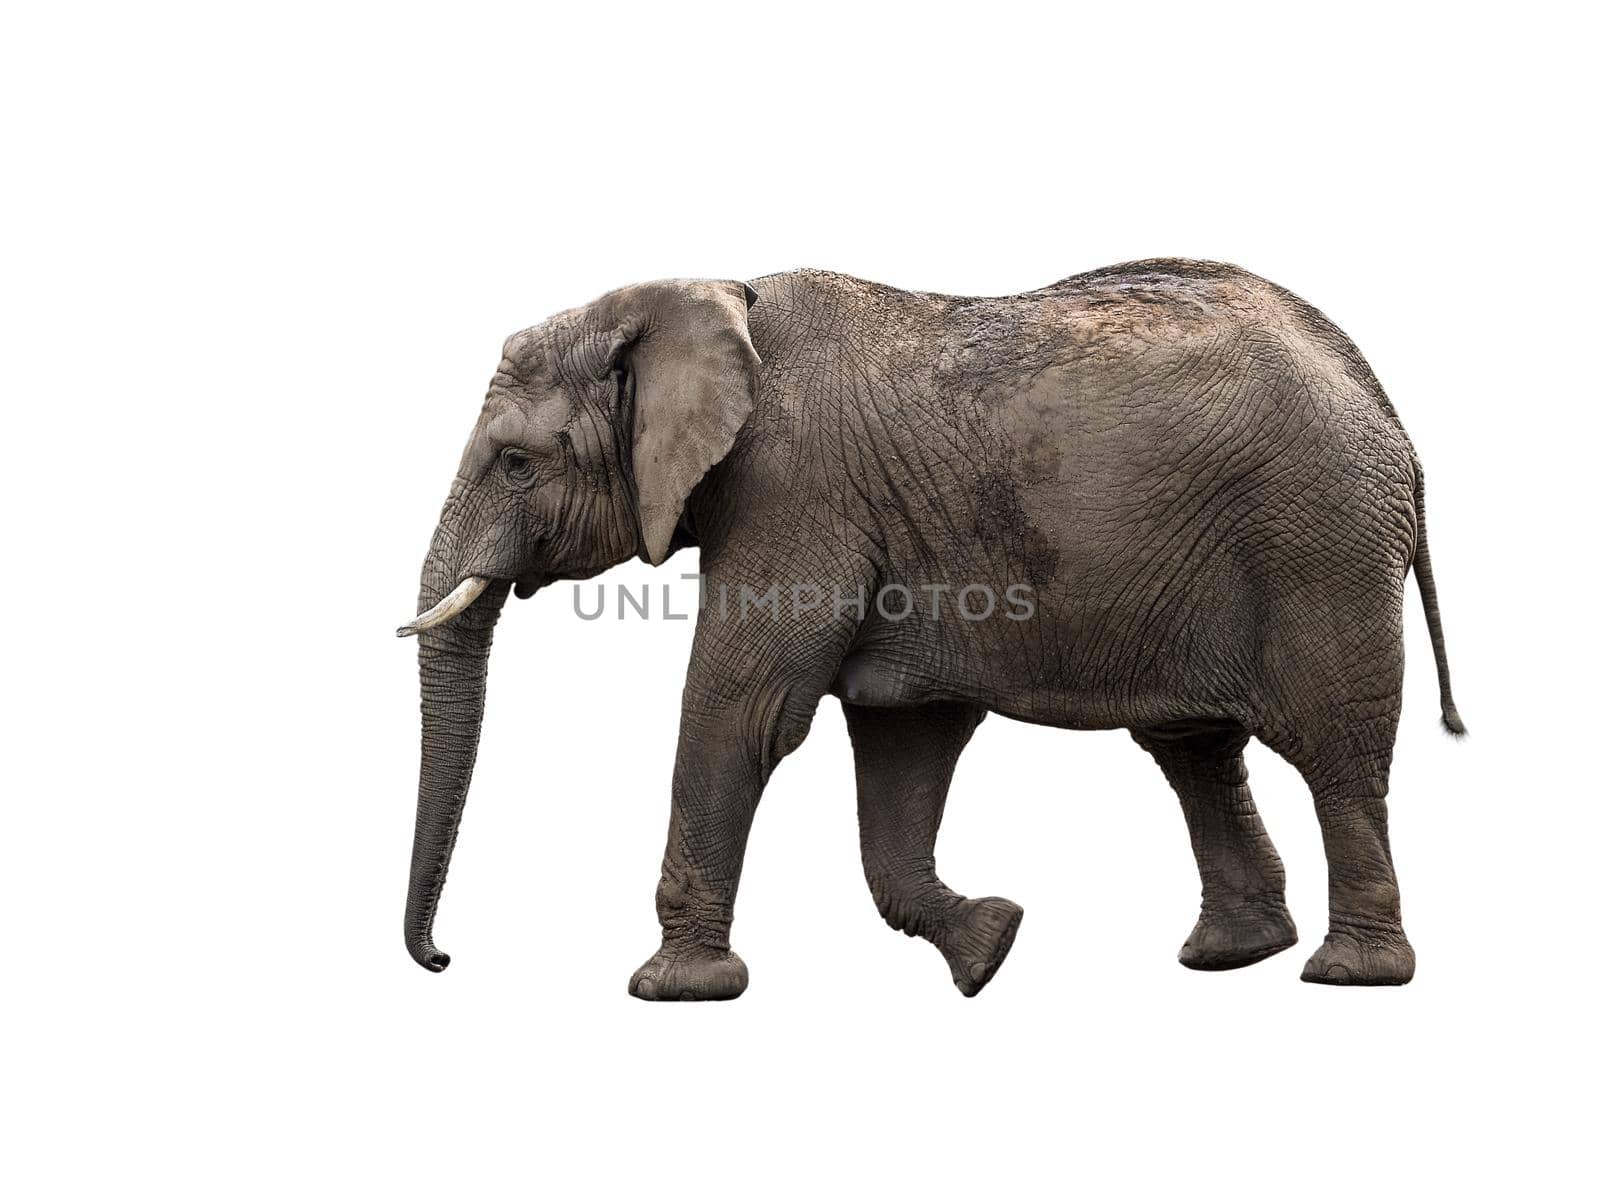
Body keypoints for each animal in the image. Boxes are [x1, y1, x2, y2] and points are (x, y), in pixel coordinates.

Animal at [396, 259, 1465, 998]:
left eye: (517, 464)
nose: (445, 958)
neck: (700, 295)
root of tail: (1385, 405)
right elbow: (902, 737)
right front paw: (992, 948)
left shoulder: (794, 490)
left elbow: (744, 709)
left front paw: (671, 990)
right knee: (1193, 747)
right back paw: (1230, 957)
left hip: (1320, 543)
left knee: (1335, 747)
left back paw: (1347, 975)